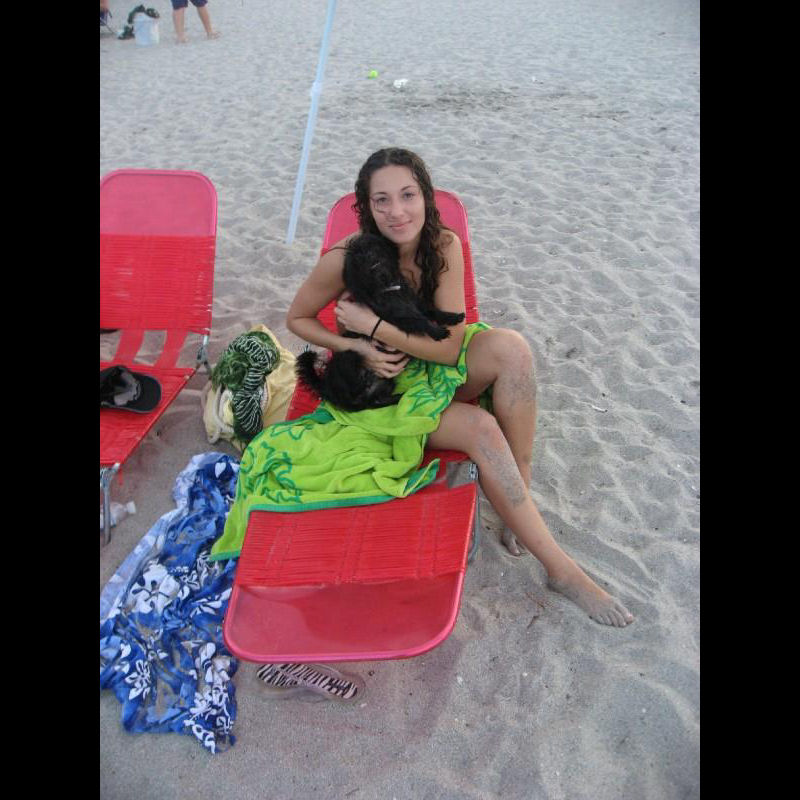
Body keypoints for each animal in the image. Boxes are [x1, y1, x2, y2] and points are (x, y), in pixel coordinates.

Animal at [296, 233, 466, 411]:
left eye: (378, 255)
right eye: (363, 264)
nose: (380, 274)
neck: (390, 290)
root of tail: (327, 388)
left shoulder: (416, 304)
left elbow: (432, 311)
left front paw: (452, 317)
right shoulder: (400, 317)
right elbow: (420, 320)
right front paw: (438, 331)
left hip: (385, 384)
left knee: (375, 401)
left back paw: (399, 397)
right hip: (350, 355)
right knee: (357, 397)